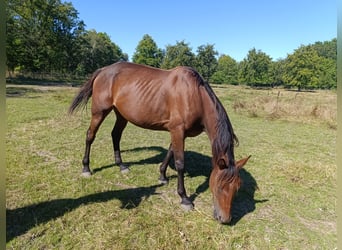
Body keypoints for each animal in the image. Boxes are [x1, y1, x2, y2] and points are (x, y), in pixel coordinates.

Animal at [69, 61, 251, 224]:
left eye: (237, 187)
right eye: (219, 186)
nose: (225, 219)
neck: (195, 96)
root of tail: (103, 70)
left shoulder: (178, 132)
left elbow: (170, 153)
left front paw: (162, 176)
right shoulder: (177, 130)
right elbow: (180, 163)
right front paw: (184, 198)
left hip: (121, 114)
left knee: (116, 135)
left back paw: (121, 165)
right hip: (99, 111)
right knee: (90, 136)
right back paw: (86, 168)